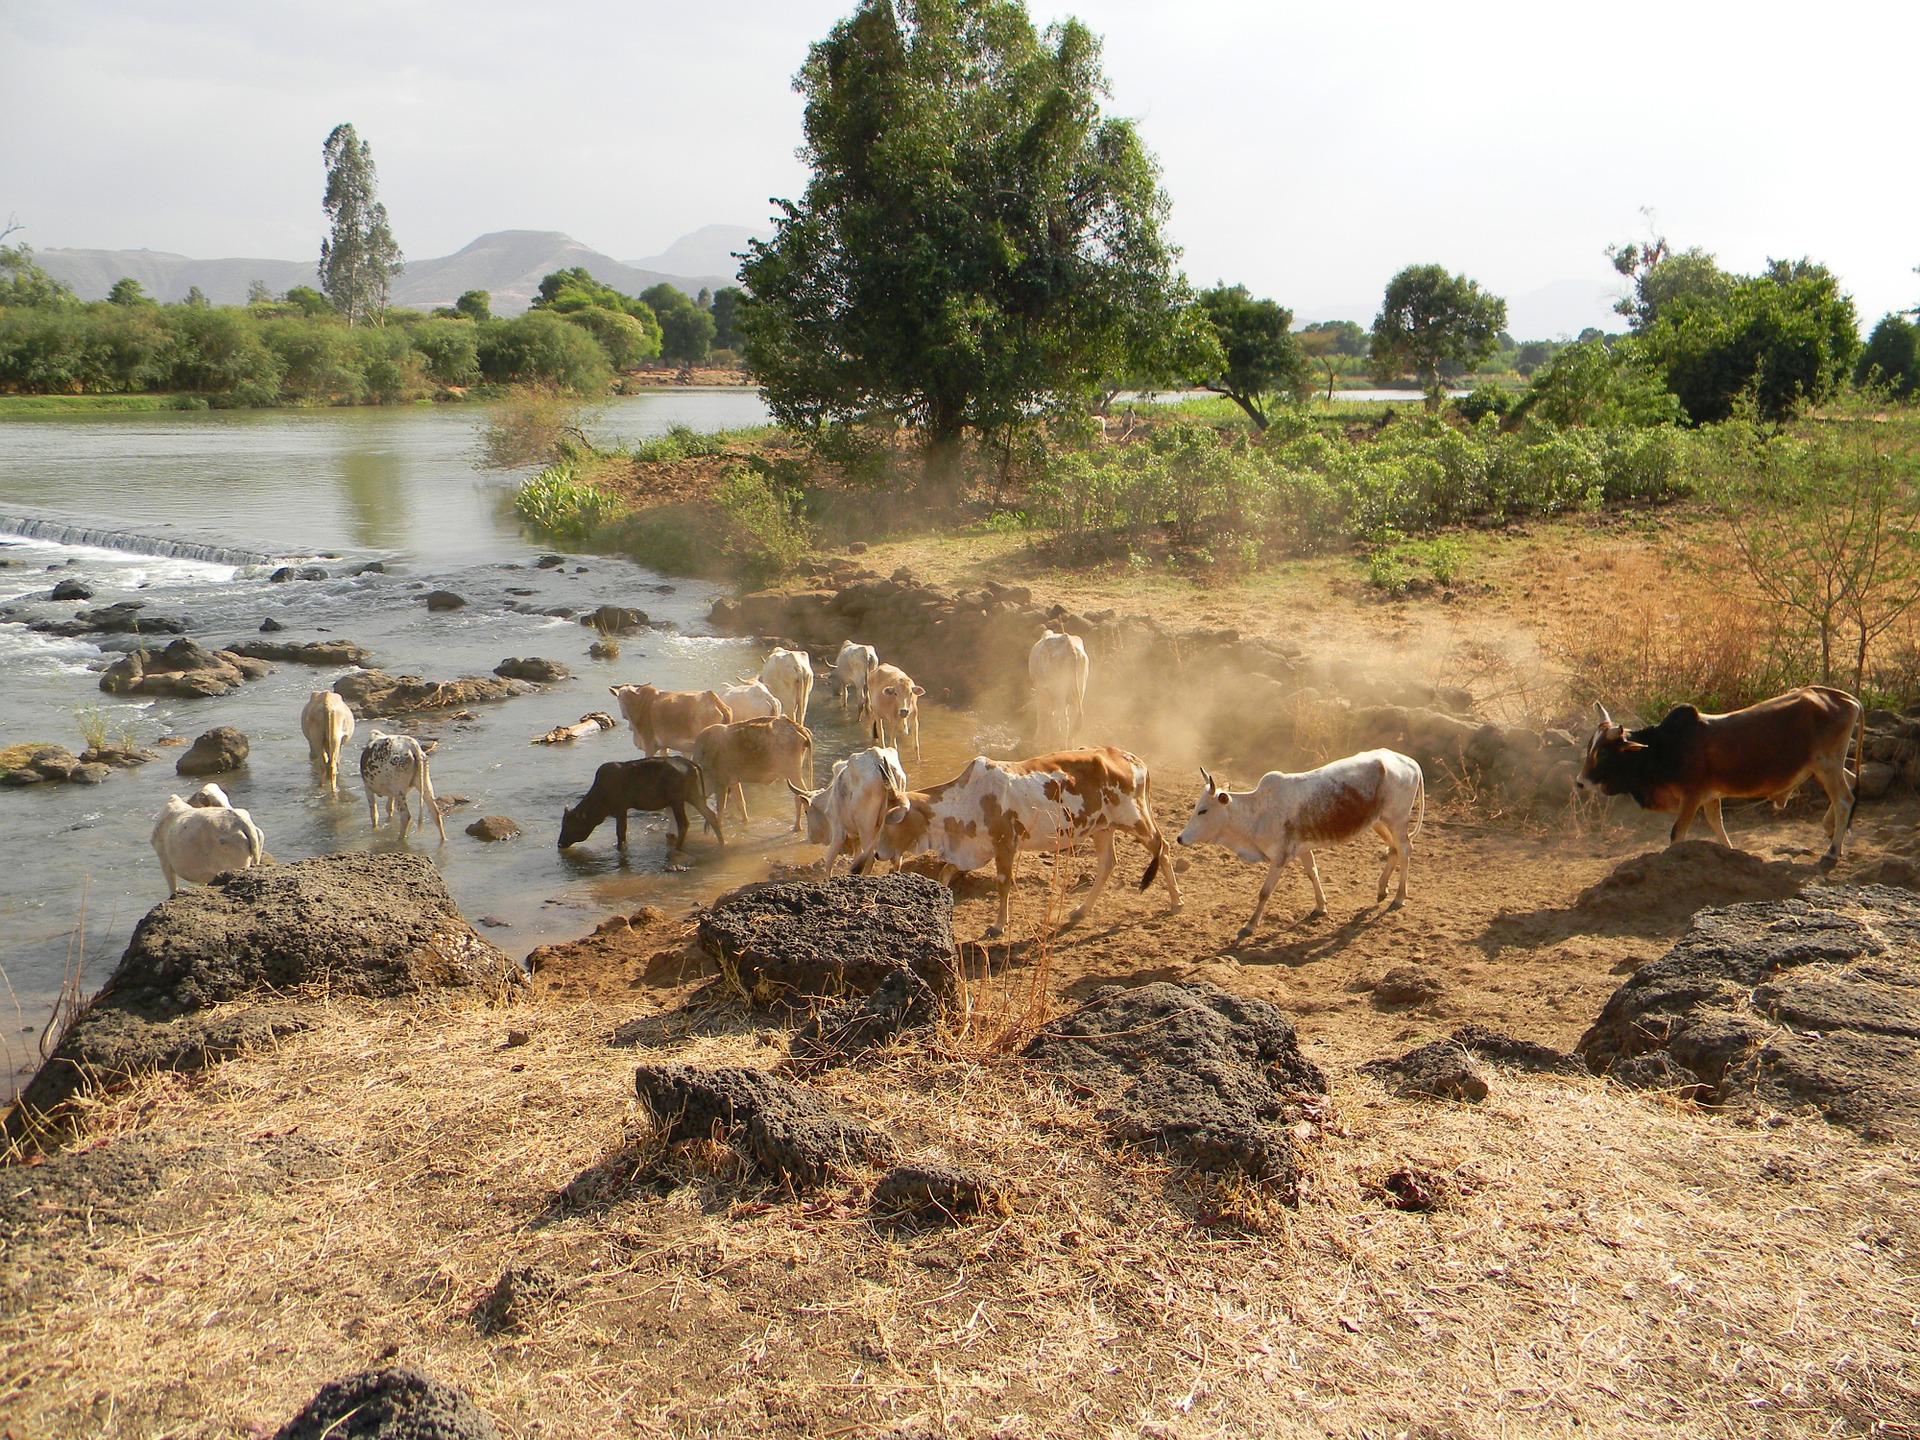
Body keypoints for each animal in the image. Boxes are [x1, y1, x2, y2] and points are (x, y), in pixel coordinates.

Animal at [564, 756, 729, 856]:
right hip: (693, 795)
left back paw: (677, 848)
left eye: (569, 824)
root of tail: (692, 765)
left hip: (677, 800)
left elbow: (620, 833)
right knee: (711, 815)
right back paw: (722, 843)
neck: (600, 797)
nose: (560, 843)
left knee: (684, 823)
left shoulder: (620, 809)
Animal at [794, 748, 913, 887]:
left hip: (866, 829)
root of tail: (879, 760)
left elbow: (828, 865)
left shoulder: (838, 831)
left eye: (806, 811)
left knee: (870, 860)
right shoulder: (856, 839)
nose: (811, 837)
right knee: (897, 859)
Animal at [875, 748, 1175, 940]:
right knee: (1108, 863)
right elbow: (945, 873)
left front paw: (998, 925)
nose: (877, 854)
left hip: (1135, 820)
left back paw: (1176, 901)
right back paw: (1081, 910)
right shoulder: (976, 850)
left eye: (890, 822)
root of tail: (1134, 760)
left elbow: (1003, 884)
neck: (966, 798)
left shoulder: (1005, 845)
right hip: (1103, 828)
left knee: (1163, 848)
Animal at [1167, 748, 1428, 940]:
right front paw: (1321, 906)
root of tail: (1409, 762)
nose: (1180, 838)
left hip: (1396, 820)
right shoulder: (1303, 849)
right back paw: (1382, 889)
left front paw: (1249, 925)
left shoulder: (1279, 858)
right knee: (1394, 849)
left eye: (1203, 810)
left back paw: (1399, 896)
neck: (1258, 812)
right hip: (1380, 822)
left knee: (1405, 850)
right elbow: (1312, 873)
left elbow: (1264, 892)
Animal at [1574, 687, 1858, 867]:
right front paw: (1729, 853)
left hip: (1826, 765)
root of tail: (1845, 698)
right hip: (1823, 768)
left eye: (1603, 753)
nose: (1580, 782)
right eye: (1589, 748)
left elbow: (1677, 833)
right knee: (1852, 779)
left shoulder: (1691, 795)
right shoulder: (1710, 796)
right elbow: (1716, 823)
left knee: (1844, 798)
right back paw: (1831, 828)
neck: (1659, 749)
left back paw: (1833, 851)